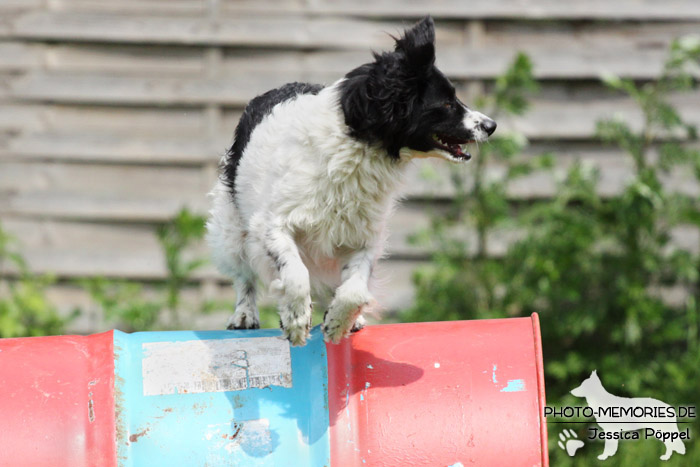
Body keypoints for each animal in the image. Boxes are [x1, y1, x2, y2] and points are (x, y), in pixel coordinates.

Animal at [205, 16, 494, 346]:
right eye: (446, 104)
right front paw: (296, 319)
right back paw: (244, 314)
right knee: (244, 277)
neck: (356, 144)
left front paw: (338, 322)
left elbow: (355, 288)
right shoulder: (272, 226)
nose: (492, 125)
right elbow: (295, 273)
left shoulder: (364, 236)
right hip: (231, 231)